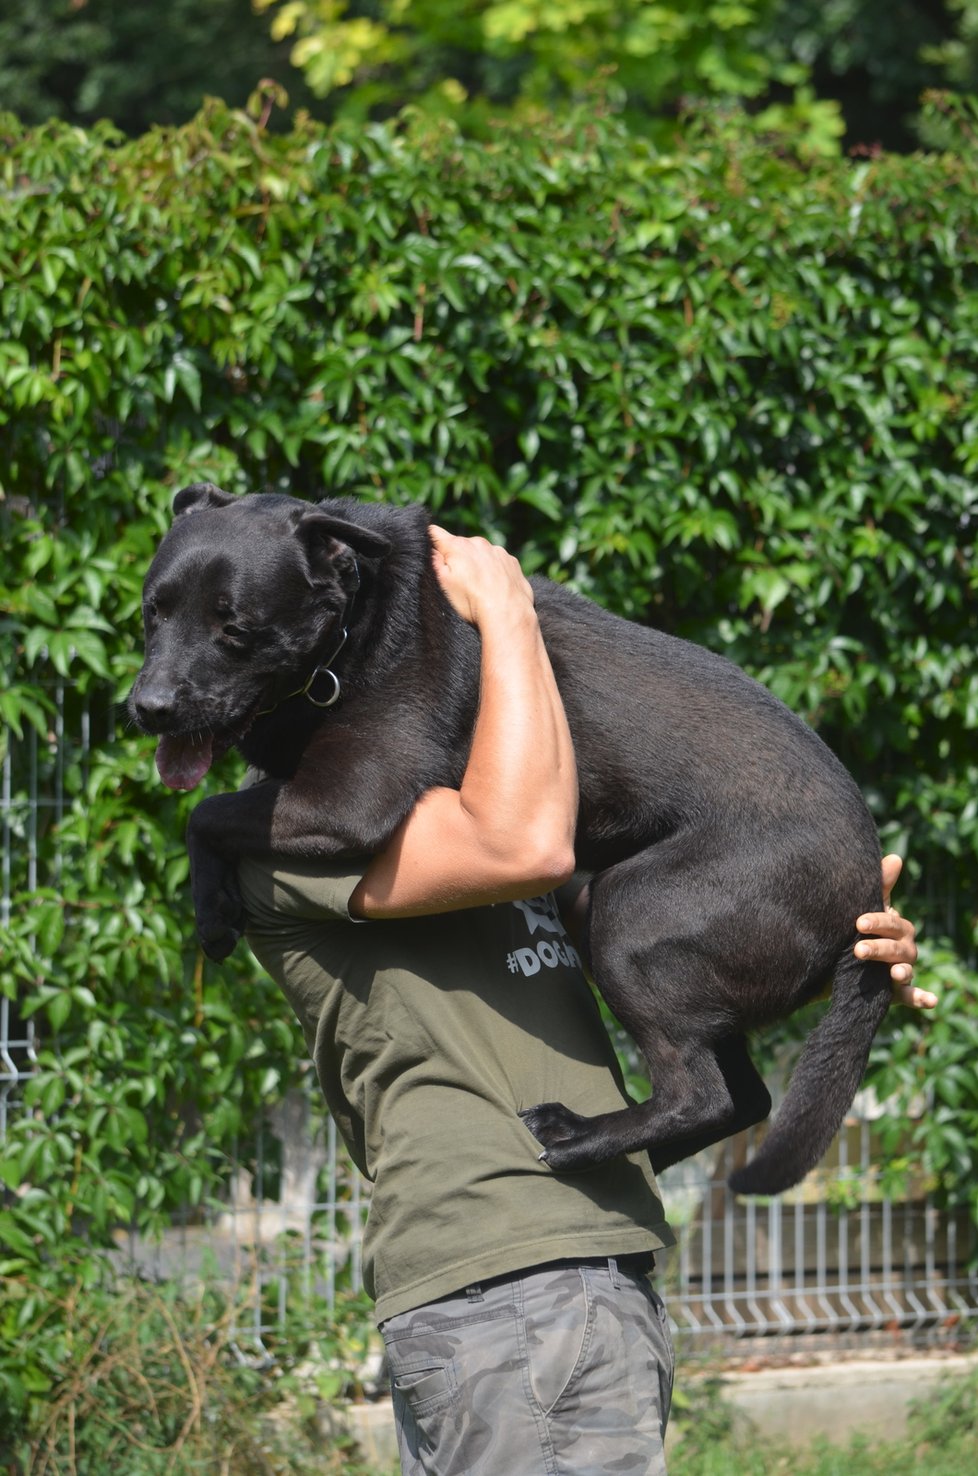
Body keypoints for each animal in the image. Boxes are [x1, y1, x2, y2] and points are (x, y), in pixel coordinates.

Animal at [132, 484, 896, 1198]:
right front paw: (216, 905)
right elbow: (217, 807)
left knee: (699, 1096)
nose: (147, 708)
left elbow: (206, 811)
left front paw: (210, 910)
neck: (357, 623)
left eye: (235, 628)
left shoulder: (352, 802)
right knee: (743, 1098)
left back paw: (580, 1139)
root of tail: (866, 895)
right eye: (152, 612)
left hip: (634, 920)